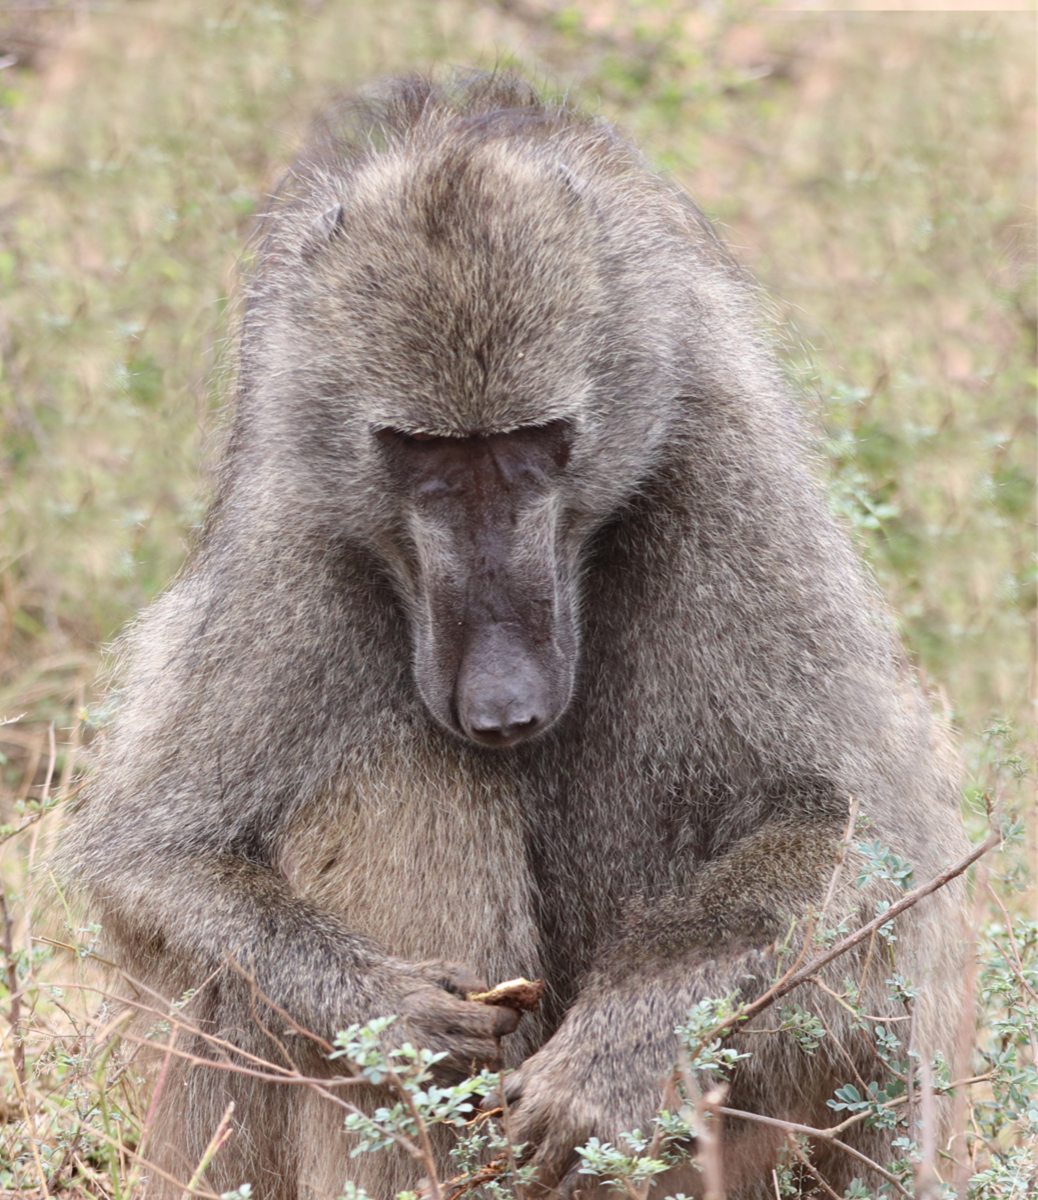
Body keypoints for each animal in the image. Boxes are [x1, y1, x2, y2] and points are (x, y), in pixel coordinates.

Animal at [60, 71, 967, 1199]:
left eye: (535, 442)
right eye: (422, 453)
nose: (504, 705)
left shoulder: (726, 466)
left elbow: (869, 837)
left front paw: (619, 1054)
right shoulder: (293, 521)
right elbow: (152, 857)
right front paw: (389, 1013)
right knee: (397, 767)